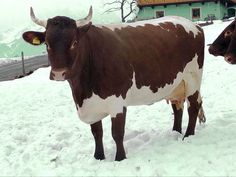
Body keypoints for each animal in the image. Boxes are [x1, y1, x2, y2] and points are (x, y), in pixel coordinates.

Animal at [23, 6, 206, 161]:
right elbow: (97, 132)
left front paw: (120, 158)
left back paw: (187, 135)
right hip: (176, 84)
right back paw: (175, 132)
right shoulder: (92, 105)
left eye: (74, 42)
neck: (82, 91)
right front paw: (98, 157)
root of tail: (194, 25)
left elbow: (117, 133)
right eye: (47, 44)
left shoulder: (117, 102)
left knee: (193, 107)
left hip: (193, 79)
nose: (59, 73)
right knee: (177, 107)